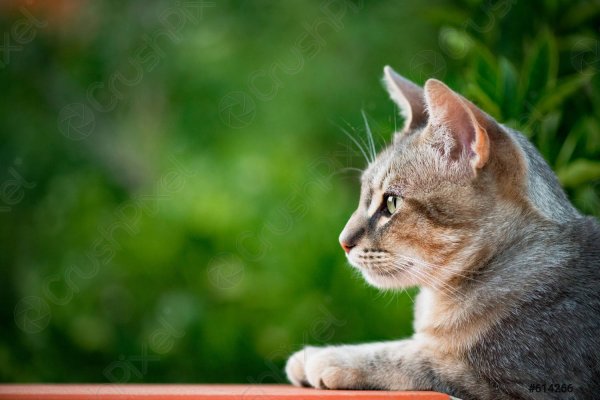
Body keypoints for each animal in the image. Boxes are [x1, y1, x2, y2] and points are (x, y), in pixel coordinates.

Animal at [284, 66, 600, 400]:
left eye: (392, 203)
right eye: (363, 195)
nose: (343, 241)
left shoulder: (524, 384)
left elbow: (414, 357)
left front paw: (329, 356)